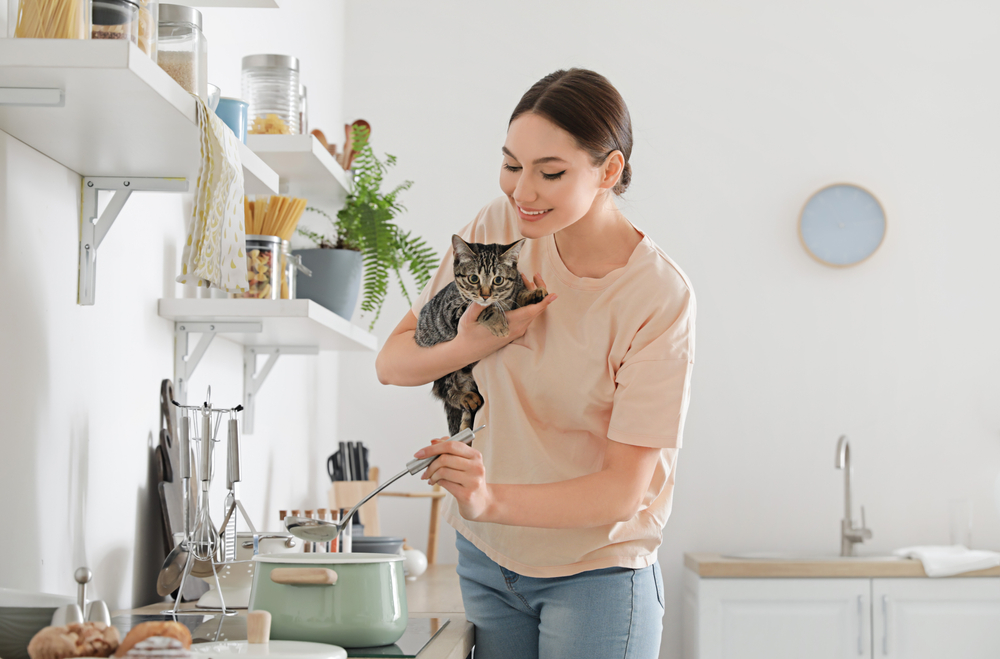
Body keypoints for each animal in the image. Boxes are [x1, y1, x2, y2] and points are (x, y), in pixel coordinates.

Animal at [414, 237, 548, 438]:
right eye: (473, 278)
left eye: (498, 280)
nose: (485, 295)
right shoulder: (453, 310)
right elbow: (484, 308)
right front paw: (498, 322)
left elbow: (518, 296)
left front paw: (533, 294)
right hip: (445, 369)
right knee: (444, 390)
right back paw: (464, 398)